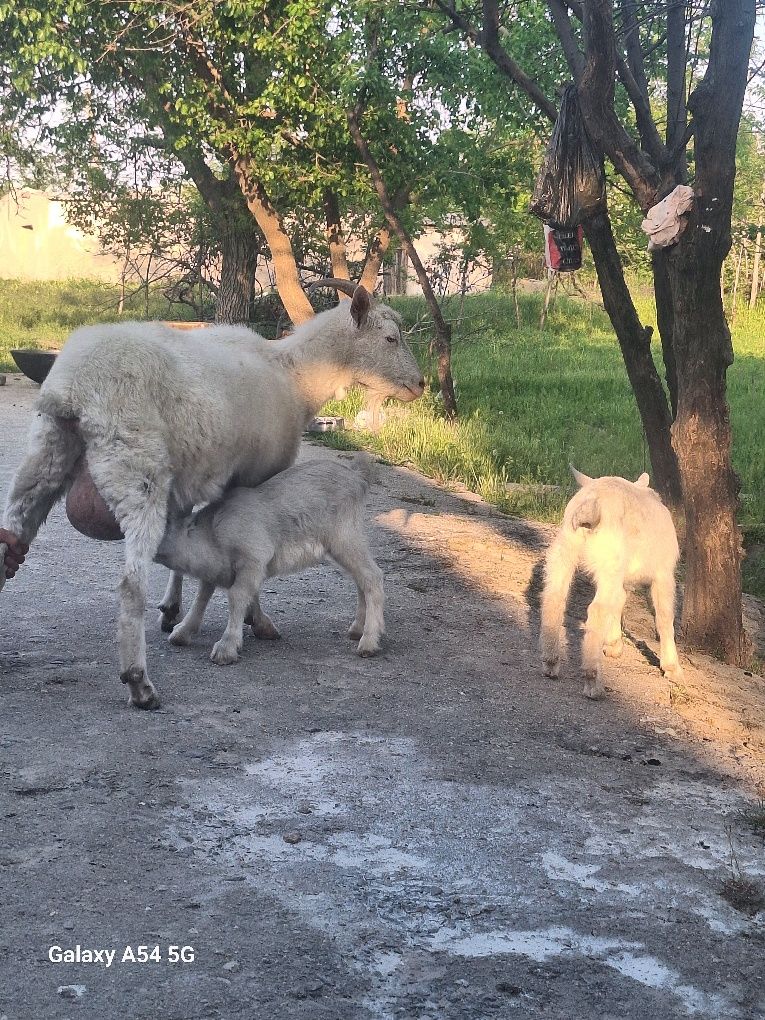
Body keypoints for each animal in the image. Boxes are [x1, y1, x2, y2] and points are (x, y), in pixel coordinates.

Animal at [156, 459, 385, 665]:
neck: (212, 533)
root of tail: (357, 476)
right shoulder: (216, 570)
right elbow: (202, 597)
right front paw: (182, 633)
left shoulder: (253, 561)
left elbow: (237, 597)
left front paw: (226, 648)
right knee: (360, 580)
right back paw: (357, 629)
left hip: (344, 538)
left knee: (372, 577)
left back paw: (368, 642)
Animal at [538, 467, 681, 697]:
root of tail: (591, 504)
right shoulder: (663, 573)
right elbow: (664, 618)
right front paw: (673, 669)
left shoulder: (620, 577)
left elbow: (618, 602)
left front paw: (613, 645)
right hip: (609, 557)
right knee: (597, 609)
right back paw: (593, 683)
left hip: (565, 548)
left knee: (554, 597)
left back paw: (550, 664)